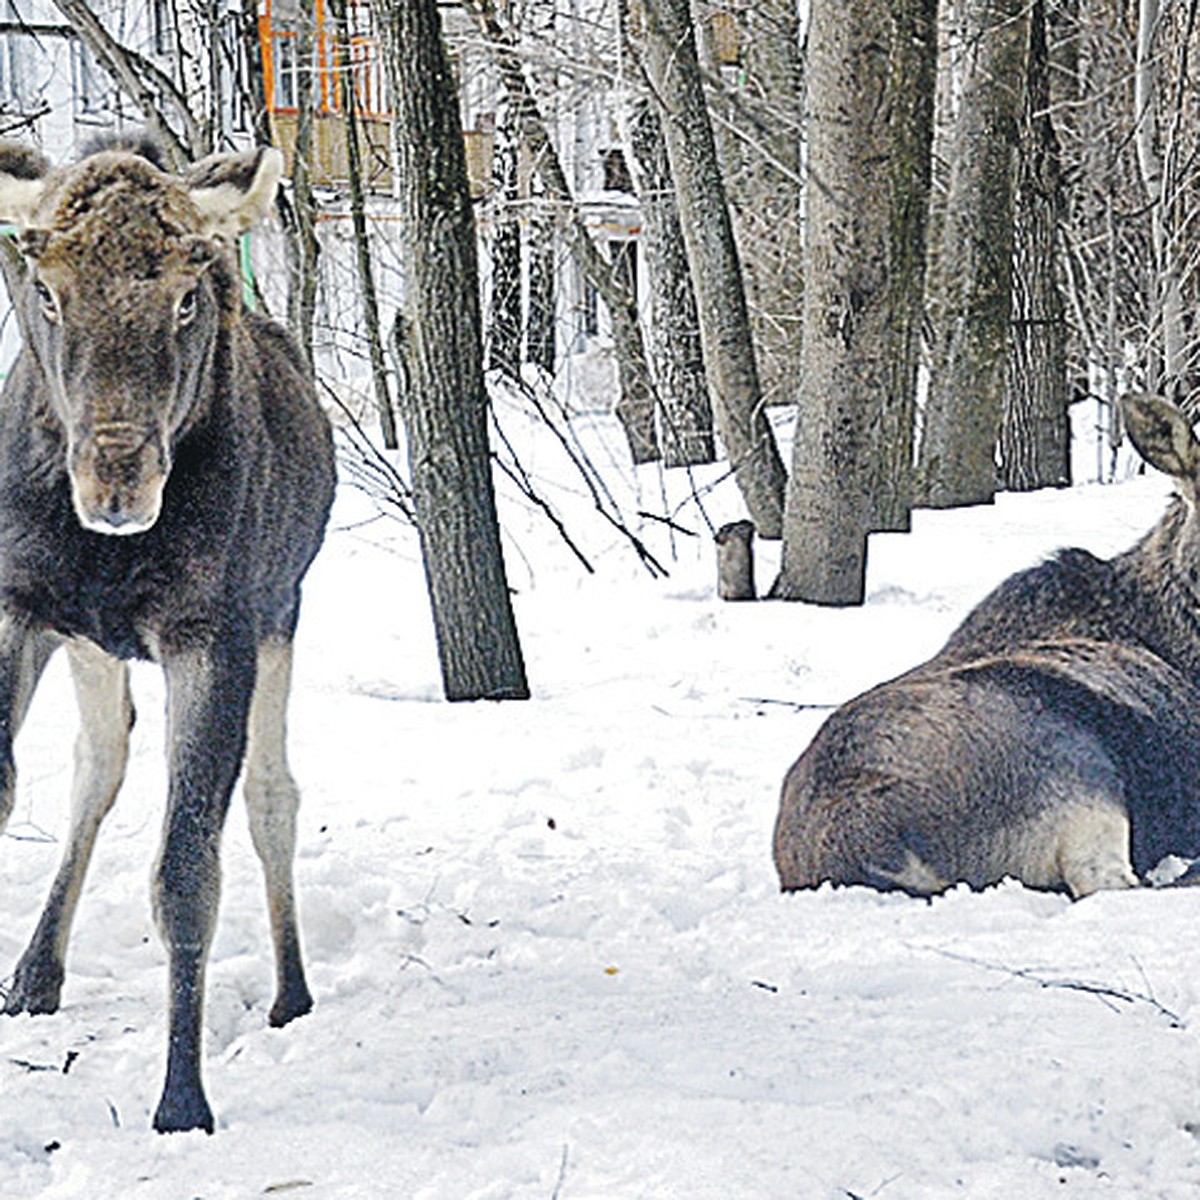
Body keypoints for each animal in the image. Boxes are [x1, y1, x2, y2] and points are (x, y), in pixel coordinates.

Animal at [0, 140, 333, 1132]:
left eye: (189, 293)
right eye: (47, 287)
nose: (117, 482)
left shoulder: (212, 635)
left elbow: (186, 871)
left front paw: (182, 1095)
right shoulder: (20, 603)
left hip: (280, 619)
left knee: (272, 796)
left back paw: (292, 989)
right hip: (88, 645)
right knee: (97, 765)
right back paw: (35, 971)